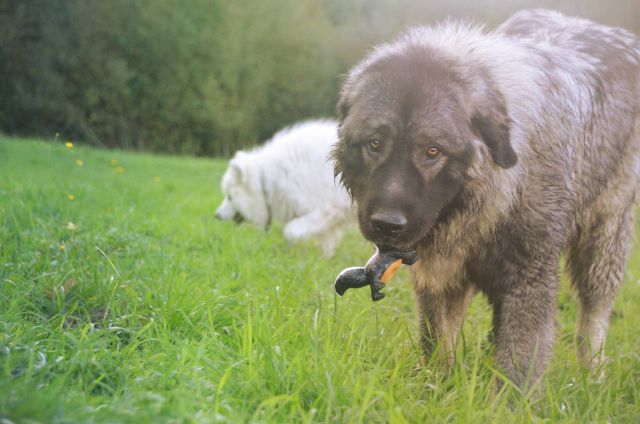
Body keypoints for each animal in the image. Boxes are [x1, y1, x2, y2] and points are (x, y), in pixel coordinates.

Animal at [215, 120, 356, 258]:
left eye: (229, 197)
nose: (216, 215)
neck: (265, 180)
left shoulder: (329, 209)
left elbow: (290, 231)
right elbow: (326, 240)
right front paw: (324, 259)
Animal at [332, 9, 640, 388]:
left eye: (432, 151)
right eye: (375, 144)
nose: (387, 224)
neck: (487, 204)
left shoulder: (528, 282)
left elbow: (516, 371)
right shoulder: (440, 277)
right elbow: (438, 345)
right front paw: (436, 388)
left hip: (604, 237)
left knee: (593, 314)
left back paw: (593, 376)